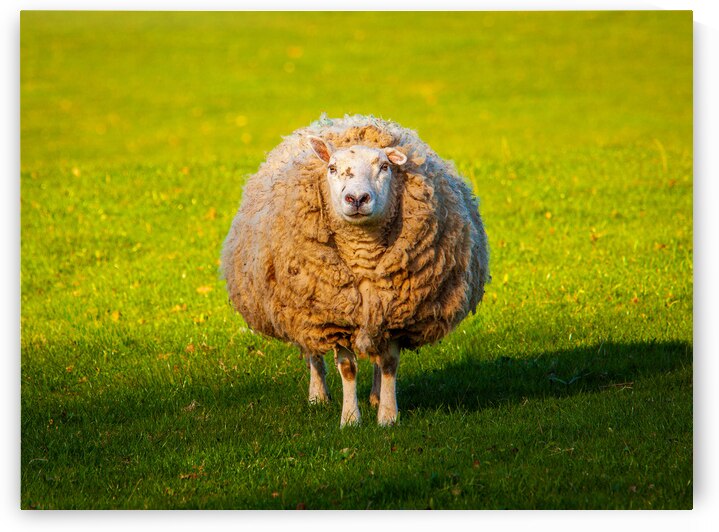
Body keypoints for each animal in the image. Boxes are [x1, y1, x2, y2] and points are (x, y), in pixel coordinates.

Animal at [221, 114, 489, 427]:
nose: (357, 198)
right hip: (304, 304)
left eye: (384, 166)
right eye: (332, 168)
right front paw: (350, 419)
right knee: (313, 351)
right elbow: (348, 368)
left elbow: (389, 364)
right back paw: (318, 396)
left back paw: (374, 396)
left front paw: (387, 415)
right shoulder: (334, 316)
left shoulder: (394, 312)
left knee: (376, 355)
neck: (363, 255)